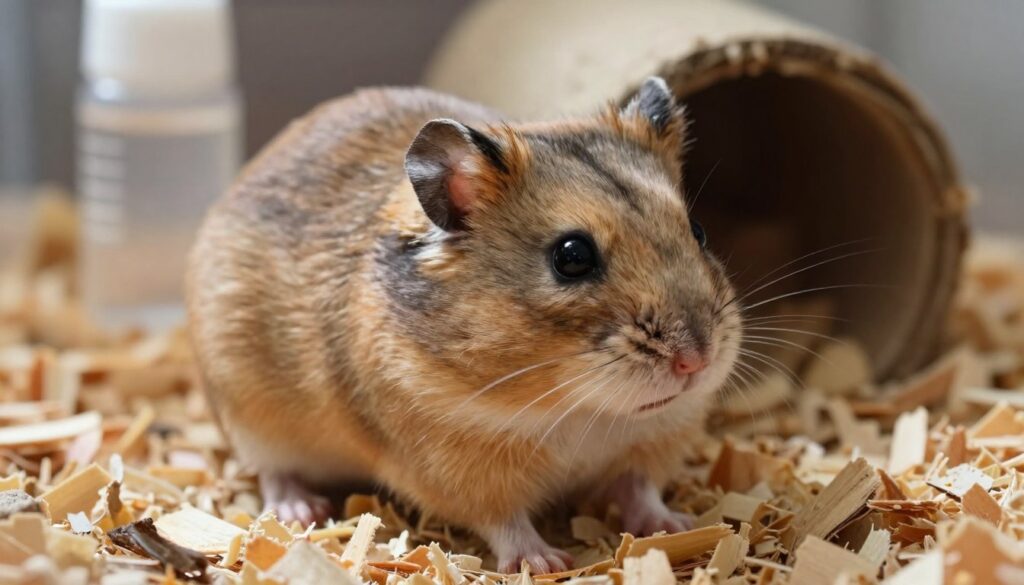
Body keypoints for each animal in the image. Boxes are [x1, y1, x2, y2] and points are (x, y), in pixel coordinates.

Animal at [186, 77, 741, 573]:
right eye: (572, 257)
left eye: (698, 230)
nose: (696, 361)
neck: (580, 409)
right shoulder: (458, 470)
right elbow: (506, 522)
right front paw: (543, 562)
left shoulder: (652, 440)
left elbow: (640, 489)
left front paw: (678, 526)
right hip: (246, 412)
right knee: (273, 473)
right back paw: (304, 510)